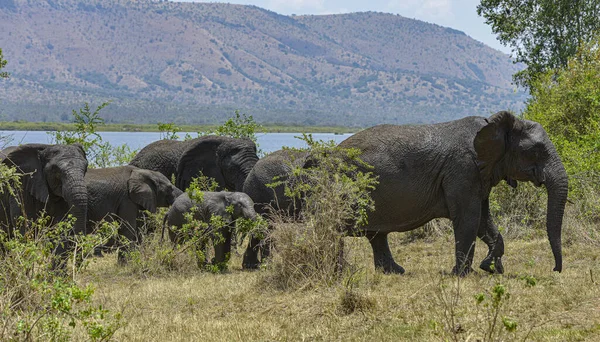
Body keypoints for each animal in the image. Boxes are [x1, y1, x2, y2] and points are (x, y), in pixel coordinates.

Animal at [338, 111, 568, 276]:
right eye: (535, 151)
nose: (555, 270)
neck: (492, 124)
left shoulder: (479, 174)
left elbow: (483, 220)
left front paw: (491, 268)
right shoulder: (463, 169)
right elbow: (469, 219)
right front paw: (462, 274)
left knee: (377, 236)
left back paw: (394, 272)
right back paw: (342, 272)